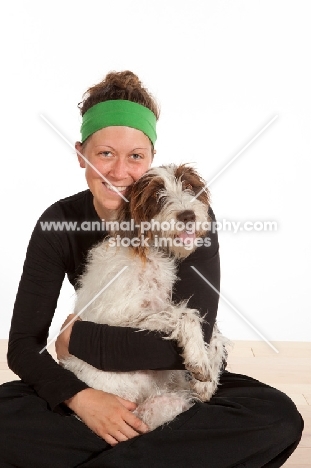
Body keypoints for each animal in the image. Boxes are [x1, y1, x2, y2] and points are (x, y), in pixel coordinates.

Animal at [62, 165, 229, 432]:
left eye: (189, 187)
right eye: (157, 196)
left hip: (168, 403)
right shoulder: (118, 320)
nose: (188, 215)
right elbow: (185, 314)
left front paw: (207, 378)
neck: (149, 252)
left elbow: (213, 332)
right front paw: (198, 358)